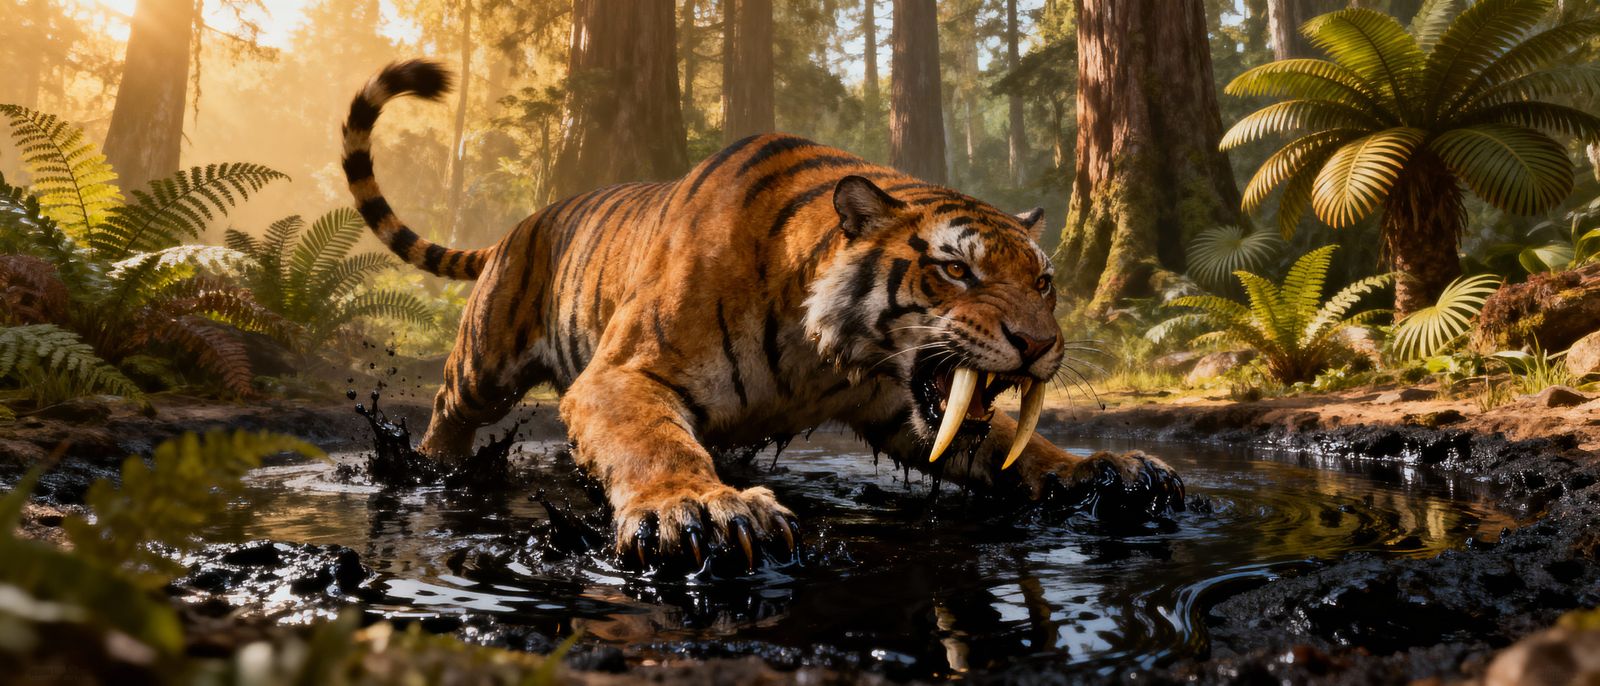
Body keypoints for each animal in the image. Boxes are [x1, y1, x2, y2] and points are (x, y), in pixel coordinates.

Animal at [341, 60, 1184, 570]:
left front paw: (1107, 470)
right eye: (955, 270)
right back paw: (430, 468)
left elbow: (1015, 444)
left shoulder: (897, 412)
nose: (1041, 344)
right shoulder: (622, 376)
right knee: (449, 411)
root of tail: (521, 224)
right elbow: (651, 445)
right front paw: (699, 511)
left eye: (1043, 282)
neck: (828, 354)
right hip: (483, 362)